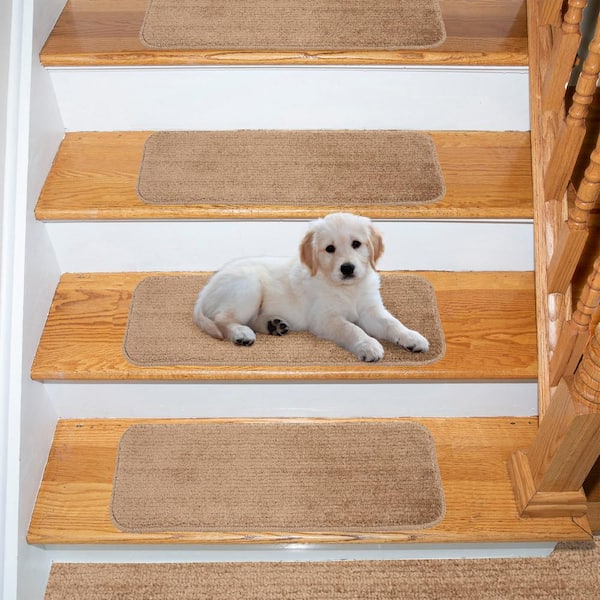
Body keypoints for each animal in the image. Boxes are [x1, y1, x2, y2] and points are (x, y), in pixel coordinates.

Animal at [192, 211, 426, 360]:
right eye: (330, 248)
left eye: (356, 244)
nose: (347, 268)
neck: (347, 289)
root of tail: (206, 289)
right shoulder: (325, 319)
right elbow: (351, 329)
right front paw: (368, 345)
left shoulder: (371, 310)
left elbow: (392, 323)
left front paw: (411, 337)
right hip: (249, 286)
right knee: (223, 319)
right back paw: (241, 333)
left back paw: (273, 325)